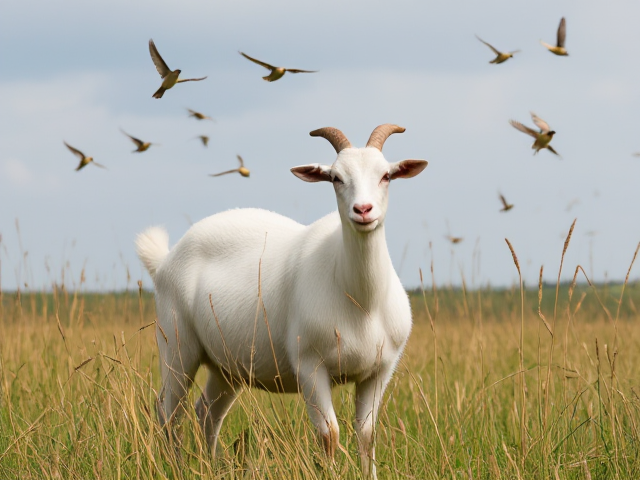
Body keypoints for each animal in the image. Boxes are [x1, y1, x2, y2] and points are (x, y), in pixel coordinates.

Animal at [135, 124, 427, 478]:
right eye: (335, 177)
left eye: (386, 175)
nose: (363, 210)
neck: (361, 301)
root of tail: (164, 261)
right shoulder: (310, 366)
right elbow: (329, 434)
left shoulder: (379, 371)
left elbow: (367, 433)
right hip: (177, 347)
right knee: (168, 411)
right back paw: (176, 467)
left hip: (226, 367)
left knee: (207, 411)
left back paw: (214, 465)